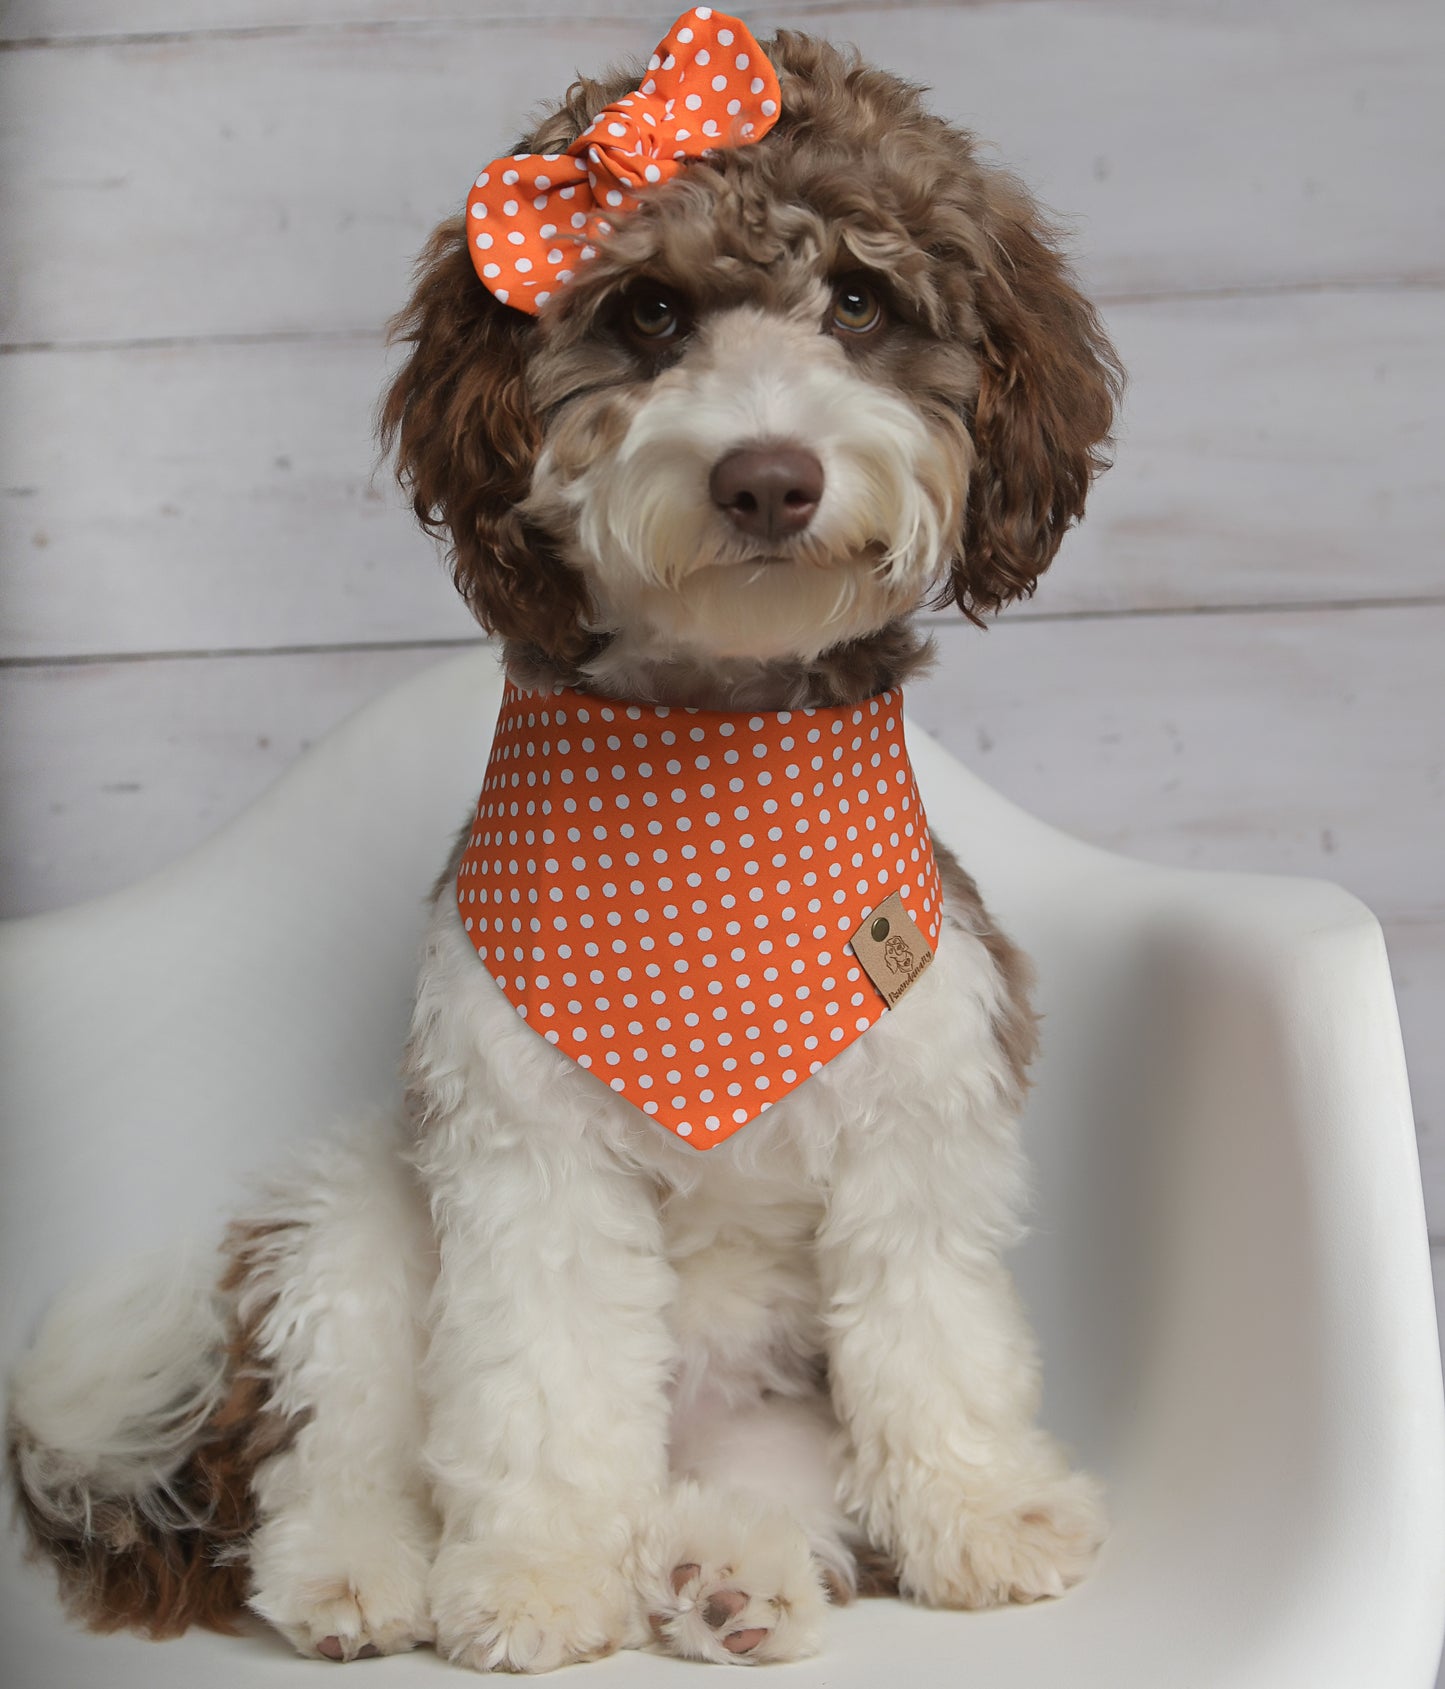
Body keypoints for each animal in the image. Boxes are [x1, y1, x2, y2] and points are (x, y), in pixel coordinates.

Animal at [5, 9, 1120, 1675]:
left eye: (859, 300)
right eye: (649, 312)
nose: (765, 475)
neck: (710, 765)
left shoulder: (923, 1103)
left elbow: (936, 1334)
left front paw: (984, 1518)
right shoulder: (524, 1146)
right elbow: (541, 1383)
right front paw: (532, 1579)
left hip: (764, 1419)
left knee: (760, 1498)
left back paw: (731, 1574)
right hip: (348, 1208)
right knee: (331, 1441)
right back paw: (363, 1573)